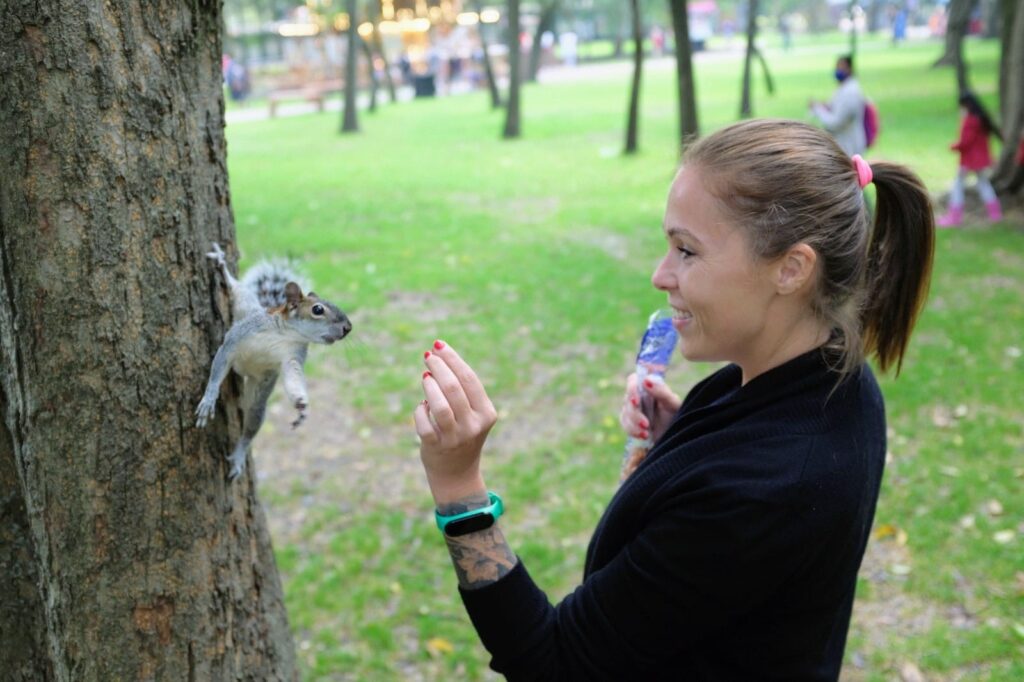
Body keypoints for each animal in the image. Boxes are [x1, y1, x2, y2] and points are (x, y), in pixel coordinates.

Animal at [194, 242, 352, 477]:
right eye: (317, 309)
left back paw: (239, 454)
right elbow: (221, 360)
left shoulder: (293, 358)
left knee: (251, 425)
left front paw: (301, 403)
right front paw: (209, 397)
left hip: (259, 394)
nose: (348, 328)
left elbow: (294, 378)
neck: (286, 334)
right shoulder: (237, 336)